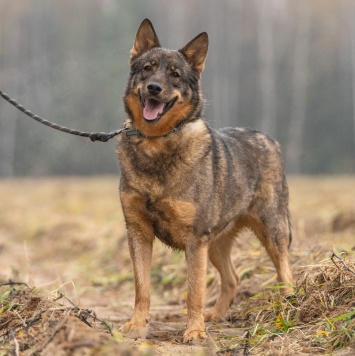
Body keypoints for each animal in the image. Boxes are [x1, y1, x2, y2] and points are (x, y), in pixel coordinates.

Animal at [118, 18, 294, 342]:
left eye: (175, 75)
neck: (156, 143)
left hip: (271, 231)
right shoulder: (138, 232)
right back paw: (218, 314)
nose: (153, 87)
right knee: (233, 278)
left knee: (284, 271)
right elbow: (142, 289)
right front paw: (136, 326)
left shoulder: (194, 239)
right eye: (147, 68)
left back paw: (288, 307)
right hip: (215, 244)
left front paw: (194, 332)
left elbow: (193, 293)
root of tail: (269, 139)